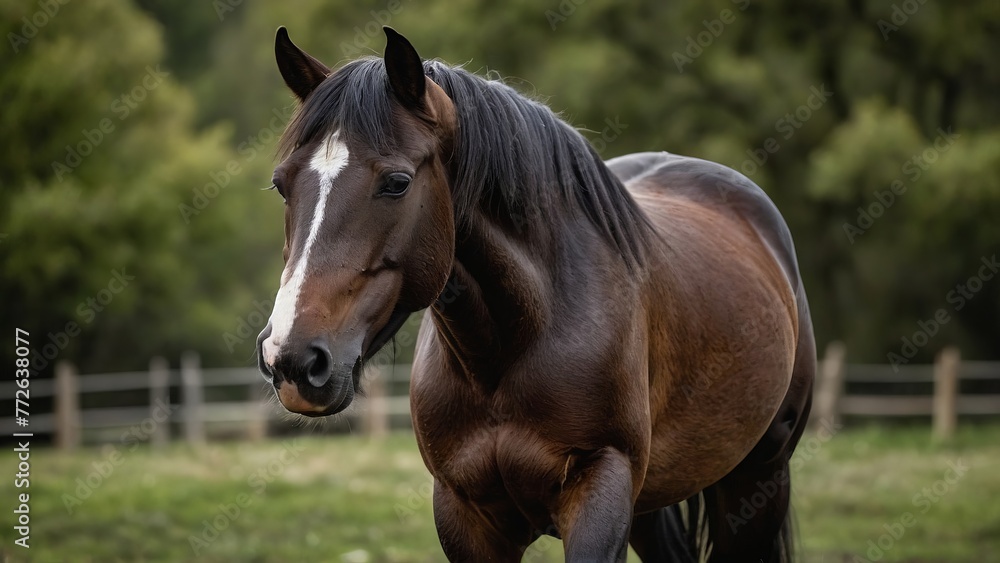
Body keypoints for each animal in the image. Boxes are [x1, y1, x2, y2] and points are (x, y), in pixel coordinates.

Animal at [255, 26, 815, 563]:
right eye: (282, 185)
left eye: (396, 182)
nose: (292, 358)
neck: (514, 344)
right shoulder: (465, 516)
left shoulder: (600, 488)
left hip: (759, 475)